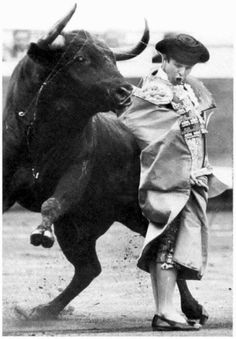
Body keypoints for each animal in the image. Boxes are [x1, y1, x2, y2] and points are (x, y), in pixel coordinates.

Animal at [2, 5, 207, 324]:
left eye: (111, 58)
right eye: (81, 59)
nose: (124, 92)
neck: (40, 137)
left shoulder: (77, 172)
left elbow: (53, 202)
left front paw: (41, 233)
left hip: (127, 216)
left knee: (158, 250)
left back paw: (190, 309)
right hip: (83, 226)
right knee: (90, 268)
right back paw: (42, 310)